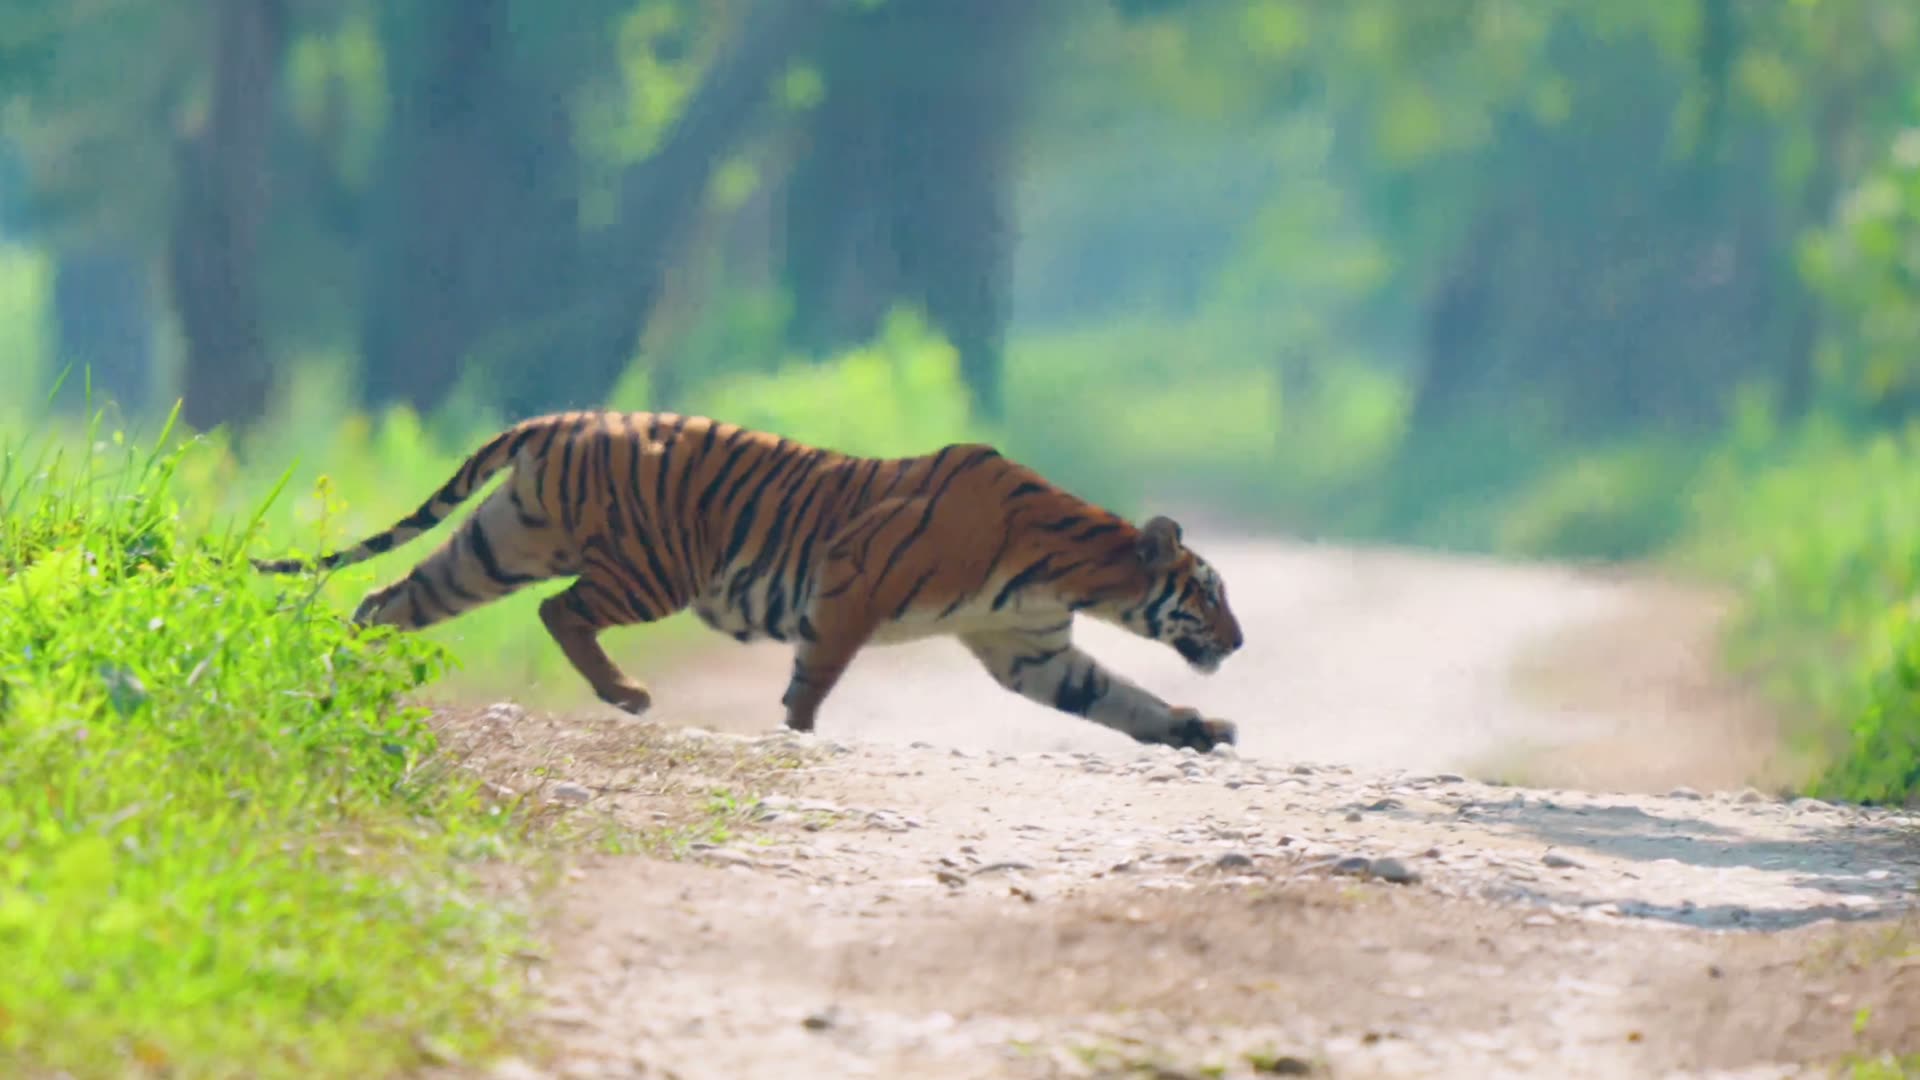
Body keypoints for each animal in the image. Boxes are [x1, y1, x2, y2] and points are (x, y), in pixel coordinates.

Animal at [252, 410, 1245, 751]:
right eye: (1210, 594)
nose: (1237, 643)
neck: (1072, 572)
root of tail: (559, 419)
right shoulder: (851, 584)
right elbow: (817, 674)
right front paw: (797, 736)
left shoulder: (1032, 650)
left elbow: (1119, 698)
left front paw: (1197, 731)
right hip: (649, 568)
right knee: (561, 612)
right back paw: (628, 695)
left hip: (499, 543)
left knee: (390, 597)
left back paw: (339, 672)